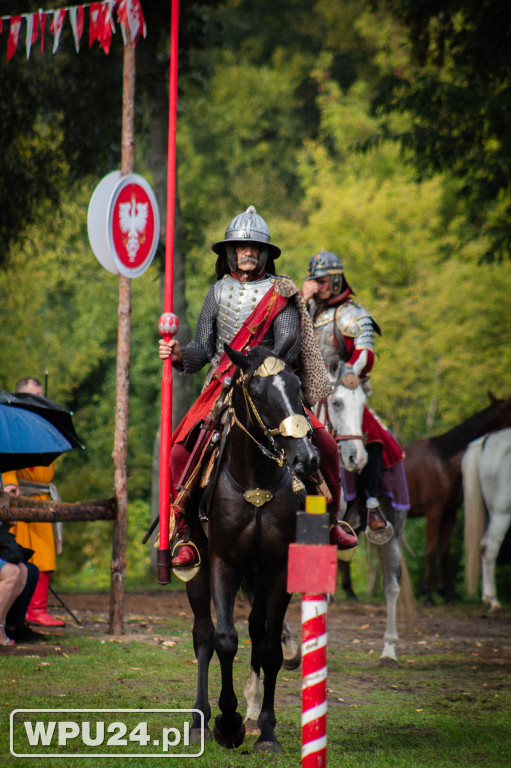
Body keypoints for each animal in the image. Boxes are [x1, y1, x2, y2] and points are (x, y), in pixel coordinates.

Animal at [186, 340, 318, 752]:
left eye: (298, 390)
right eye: (258, 394)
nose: (307, 458)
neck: (256, 480)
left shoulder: (277, 570)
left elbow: (271, 648)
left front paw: (267, 731)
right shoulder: (222, 563)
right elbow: (225, 639)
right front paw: (227, 724)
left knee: (258, 631)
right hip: (196, 568)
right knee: (203, 634)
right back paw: (200, 718)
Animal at [322, 368, 414, 664]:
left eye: (362, 405)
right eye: (336, 403)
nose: (357, 459)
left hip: (393, 532)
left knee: (392, 587)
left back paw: (388, 649)